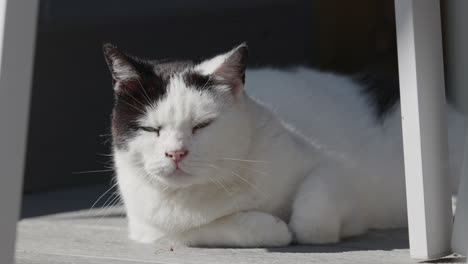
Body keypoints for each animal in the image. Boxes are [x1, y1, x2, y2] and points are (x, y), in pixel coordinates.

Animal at [103, 42, 464, 246]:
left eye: (202, 125)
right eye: (150, 129)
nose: (175, 153)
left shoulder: (330, 168)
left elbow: (311, 217)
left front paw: (337, 227)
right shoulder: (152, 230)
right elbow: (205, 230)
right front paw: (273, 229)